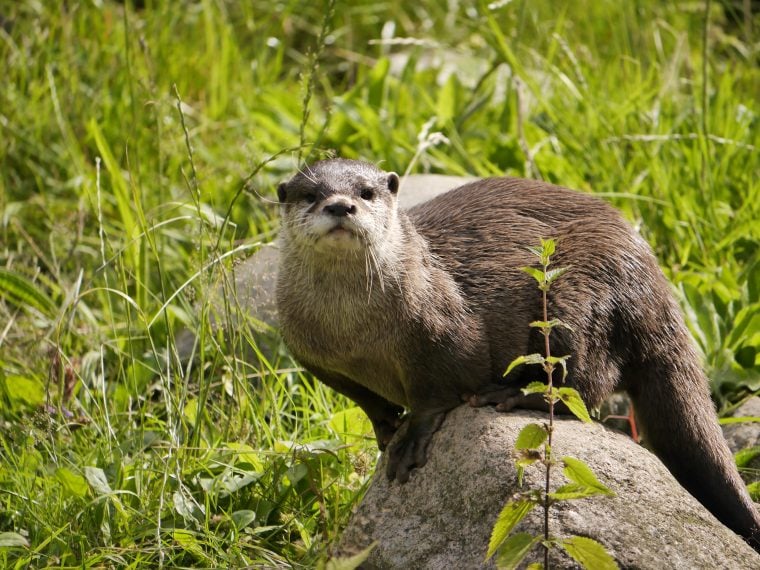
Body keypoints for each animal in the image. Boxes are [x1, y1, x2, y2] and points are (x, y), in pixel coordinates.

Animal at [276, 158, 760, 548]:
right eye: (311, 194)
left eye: (367, 192)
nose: (340, 206)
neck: (354, 337)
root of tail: (651, 276)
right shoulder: (310, 355)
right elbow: (364, 399)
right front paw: (385, 428)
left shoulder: (446, 333)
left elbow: (436, 390)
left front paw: (410, 437)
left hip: (578, 295)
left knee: (587, 382)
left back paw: (512, 394)